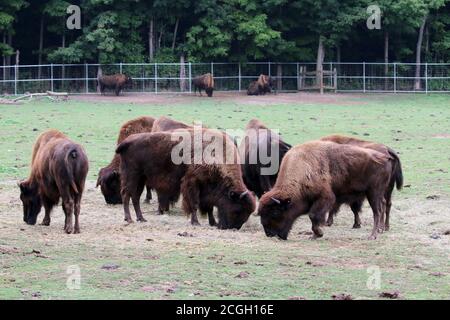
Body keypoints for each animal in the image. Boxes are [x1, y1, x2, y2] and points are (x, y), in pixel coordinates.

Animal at [115, 129, 256, 229]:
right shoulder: (192, 183)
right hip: (132, 176)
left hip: (141, 178)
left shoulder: (207, 189)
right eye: (237, 209)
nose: (233, 227)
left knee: (135, 197)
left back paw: (141, 218)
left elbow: (209, 206)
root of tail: (126, 142)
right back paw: (129, 219)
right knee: (126, 195)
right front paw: (196, 222)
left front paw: (213, 222)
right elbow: (194, 204)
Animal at [256, 140, 394, 240]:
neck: (302, 168)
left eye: (275, 212)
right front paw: (314, 235)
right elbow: (314, 217)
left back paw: (373, 235)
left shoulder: (325, 197)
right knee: (381, 208)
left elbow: (314, 215)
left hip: (374, 193)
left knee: (377, 212)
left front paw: (318, 234)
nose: (269, 233)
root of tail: (385, 157)